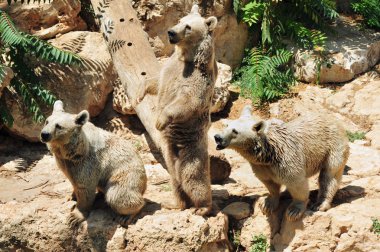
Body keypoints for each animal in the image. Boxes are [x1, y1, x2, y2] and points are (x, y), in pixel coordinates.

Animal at [138, 4, 218, 216]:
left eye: (188, 27)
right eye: (179, 20)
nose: (171, 32)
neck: (187, 57)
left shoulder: (197, 79)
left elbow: (187, 102)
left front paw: (159, 121)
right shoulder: (169, 69)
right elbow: (156, 82)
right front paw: (139, 93)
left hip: (191, 149)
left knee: (193, 177)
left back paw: (203, 207)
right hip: (169, 153)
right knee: (175, 180)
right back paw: (175, 203)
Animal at [212, 106, 348, 220]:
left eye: (235, 131)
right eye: (227, 125)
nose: (217, 137)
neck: (269, 153)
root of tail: (335, 120)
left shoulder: (287, 159)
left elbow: (297, 183)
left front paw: (294, 211)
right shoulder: (261, 166)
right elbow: (269, 182)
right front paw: (268, 204)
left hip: (333, 147)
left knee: (329, 175)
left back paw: (320, 204)